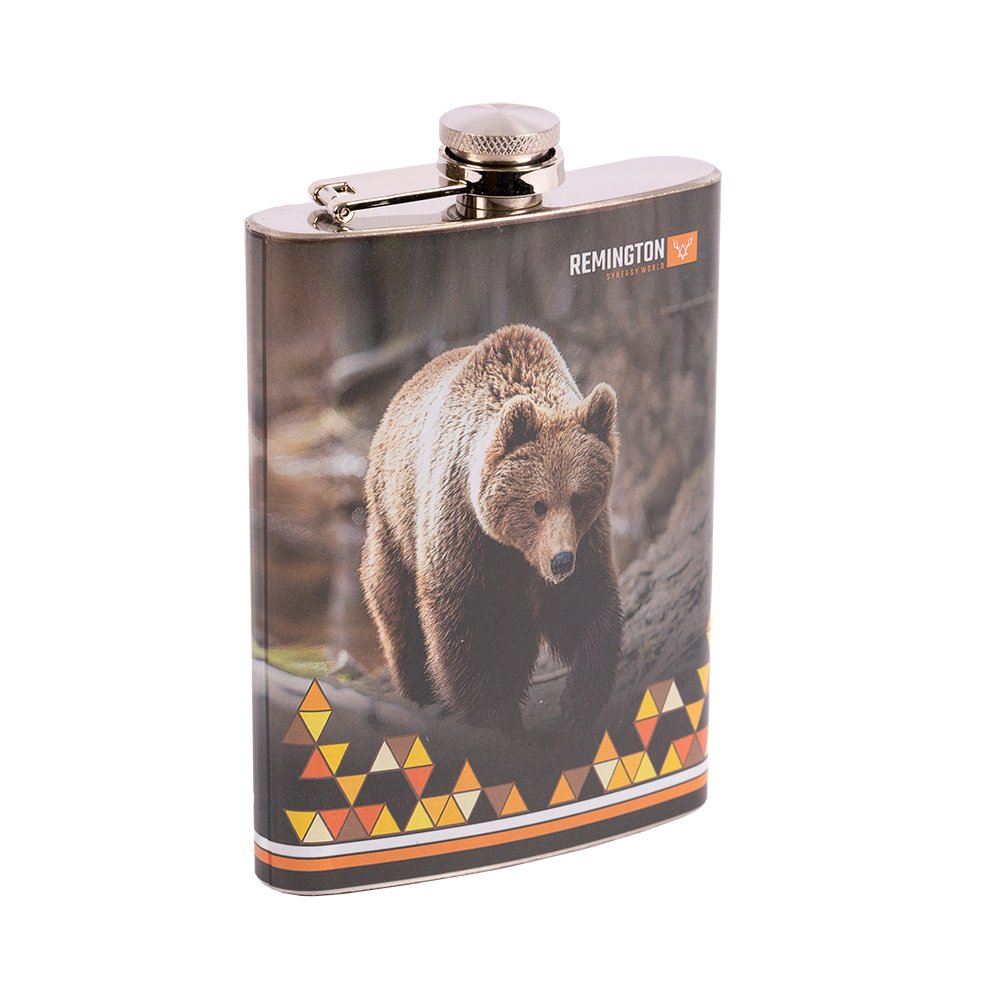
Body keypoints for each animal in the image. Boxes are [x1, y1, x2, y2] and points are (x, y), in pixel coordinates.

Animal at [360, 325, 622, 734]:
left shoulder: (585, 536)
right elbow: (466, 623)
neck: (513, 546)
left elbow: (584, 601)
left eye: (578, 498)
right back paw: (421, 690)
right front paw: (495, 716)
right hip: (393, 519)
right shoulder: (461, 529)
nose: (561, 561)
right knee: (395, 601)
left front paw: (579, 700)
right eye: (537, 504)